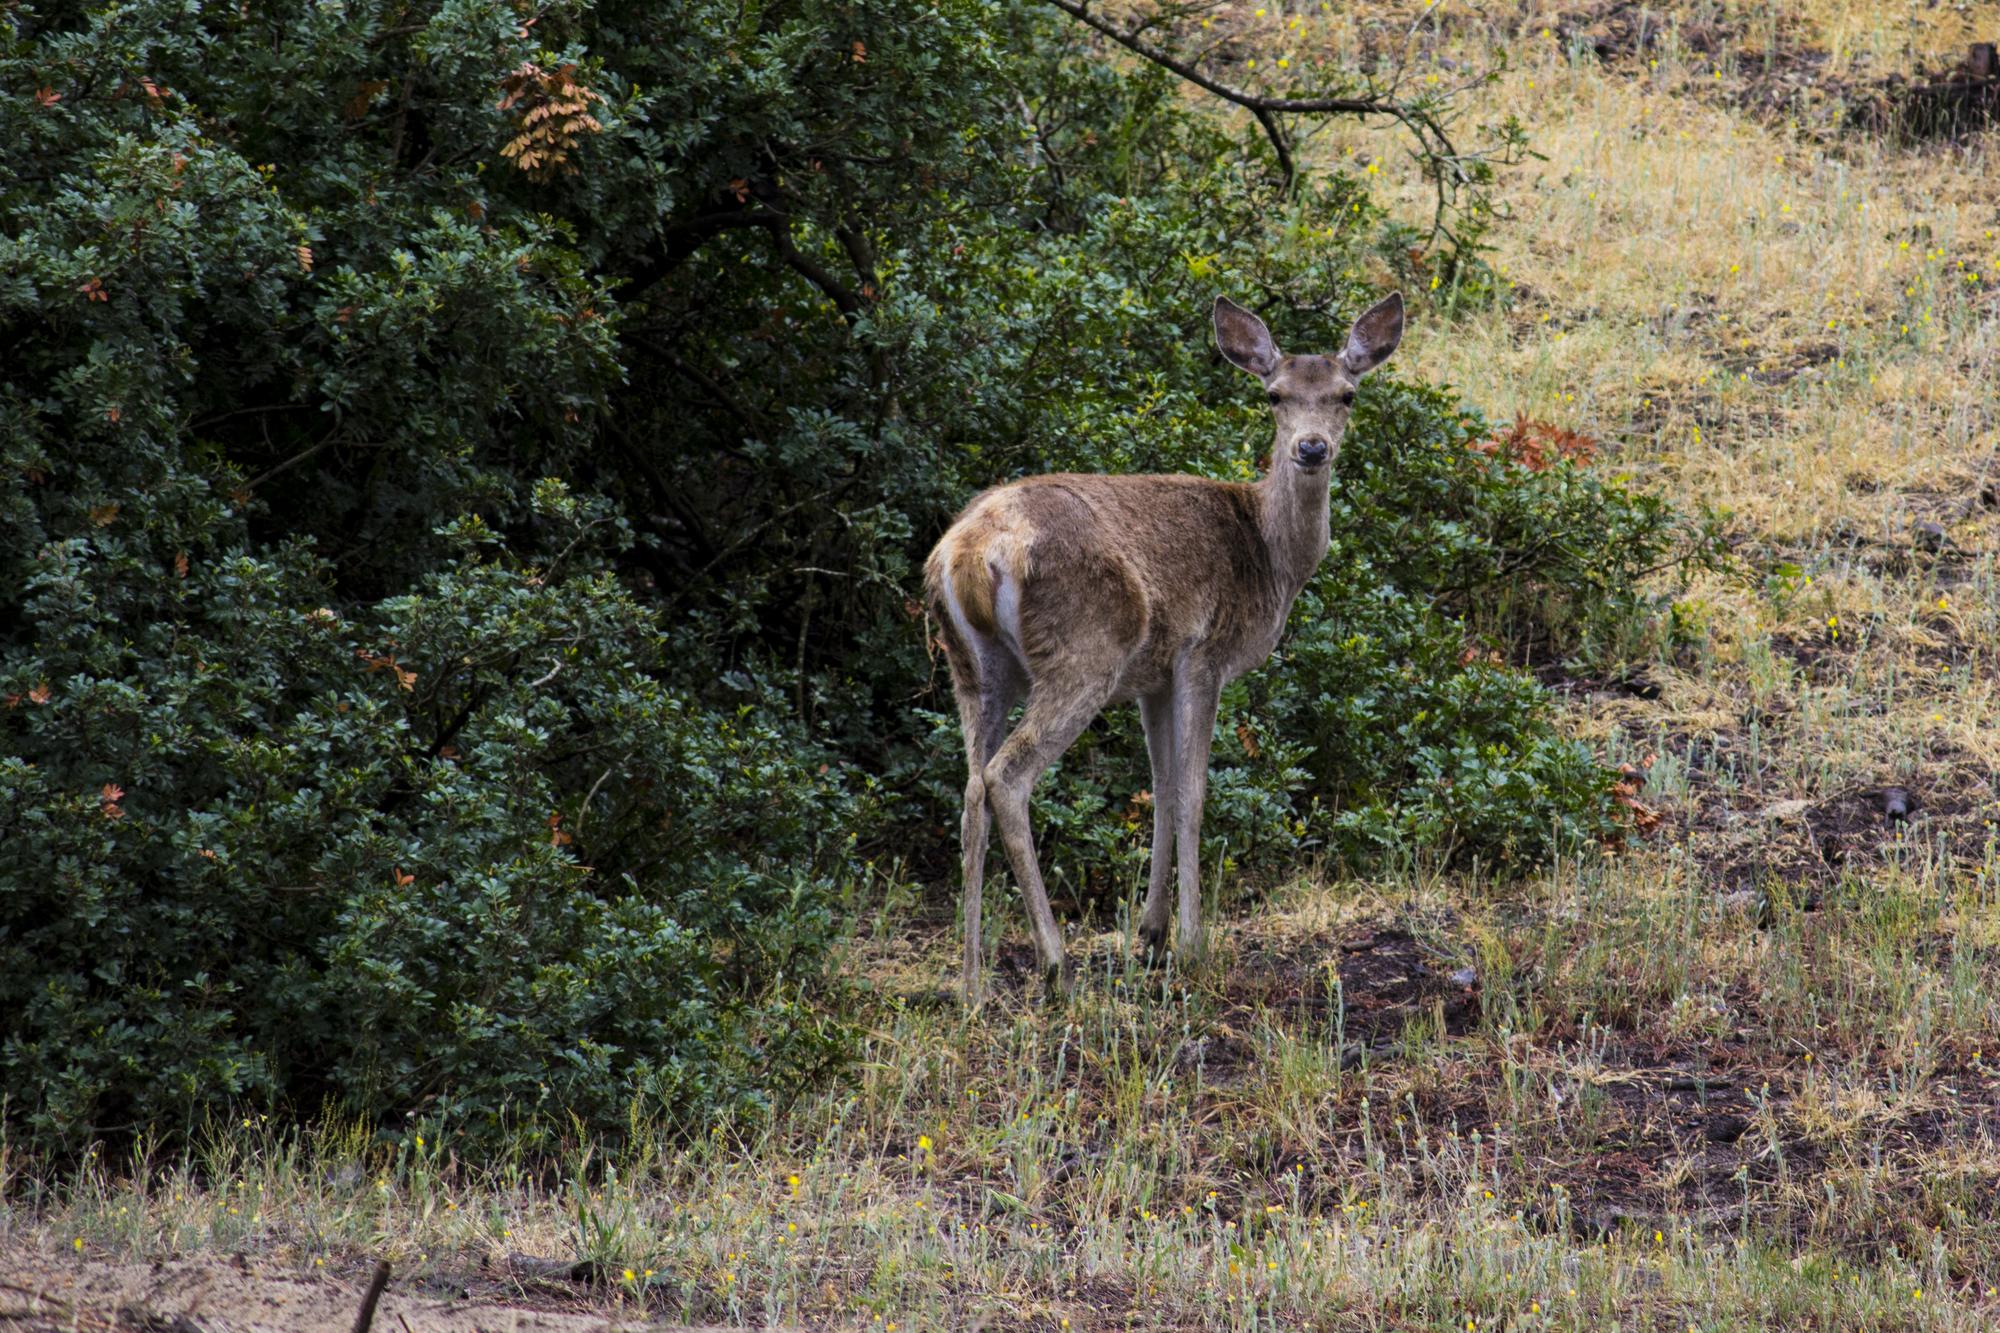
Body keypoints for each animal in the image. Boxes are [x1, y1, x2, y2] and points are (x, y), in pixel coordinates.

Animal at [924, 290, 1408, 996]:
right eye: (1275, 395)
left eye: (1346, 394)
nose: (1312, 448)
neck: (1270, 558)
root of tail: (969, 552)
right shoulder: (1204, 654)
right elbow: (1194, 794)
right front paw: (1192, 942)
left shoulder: (1152, 678)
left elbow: (1161, 789)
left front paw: (1150, 937)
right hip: (1084, 652)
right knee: (1005, 779)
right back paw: (1054, 961)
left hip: (973, 666)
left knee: (967, 790)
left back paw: (970, 980)